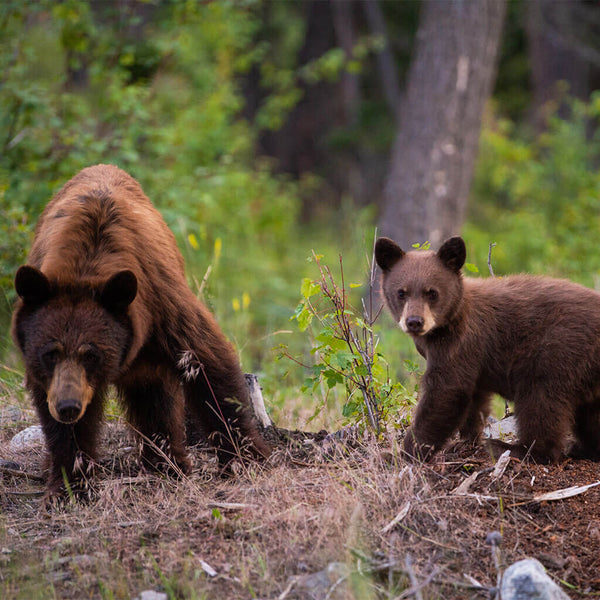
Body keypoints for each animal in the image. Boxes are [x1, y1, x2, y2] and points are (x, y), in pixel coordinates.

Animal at [12, 163, 270, 502]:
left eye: (91, 354)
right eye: (49, 353)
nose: (68, 407)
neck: (86, 266)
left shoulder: (162, 304)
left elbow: (208, 364)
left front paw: (245, 459)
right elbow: (59, 424)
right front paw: (70, 485)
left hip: (149, 357)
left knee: (154, 399)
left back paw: (167, 465)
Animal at [378, 234, 600, 464]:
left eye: (432, 293)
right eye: (401, 292)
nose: (414, 321)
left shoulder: (461, 343)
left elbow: (446, 392)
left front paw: (402, 453)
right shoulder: (471, 358)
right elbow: (473, 399)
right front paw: (465, 441)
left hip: (560, 349)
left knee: (541, 400)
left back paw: (514, 448)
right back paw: (584, 449)